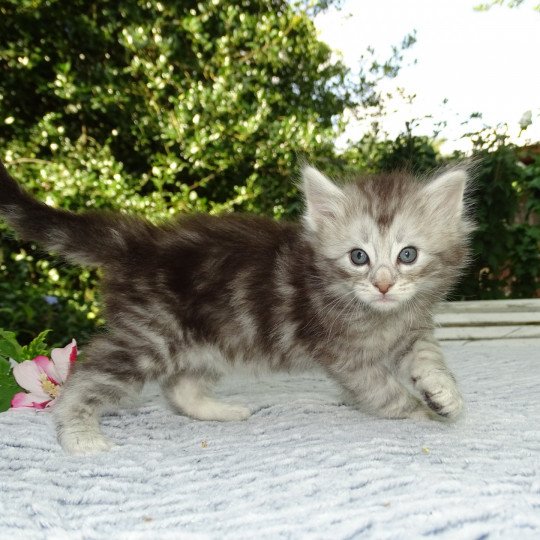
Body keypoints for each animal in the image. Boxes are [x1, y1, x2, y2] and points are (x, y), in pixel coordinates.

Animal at [0, 161, 472, 456]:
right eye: (359, 257)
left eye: (408, 255)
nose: (384, 285)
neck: (380, 314)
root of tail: (137, 242)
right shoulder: (347, 357)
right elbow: (384, 393)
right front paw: (421, 414)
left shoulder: (411, 329)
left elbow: (430, 355)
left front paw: (444, 394)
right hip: (150, 337)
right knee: (85, 376)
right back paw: (78, 434)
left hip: (209, 342)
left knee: (179, 388)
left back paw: (220, 411)